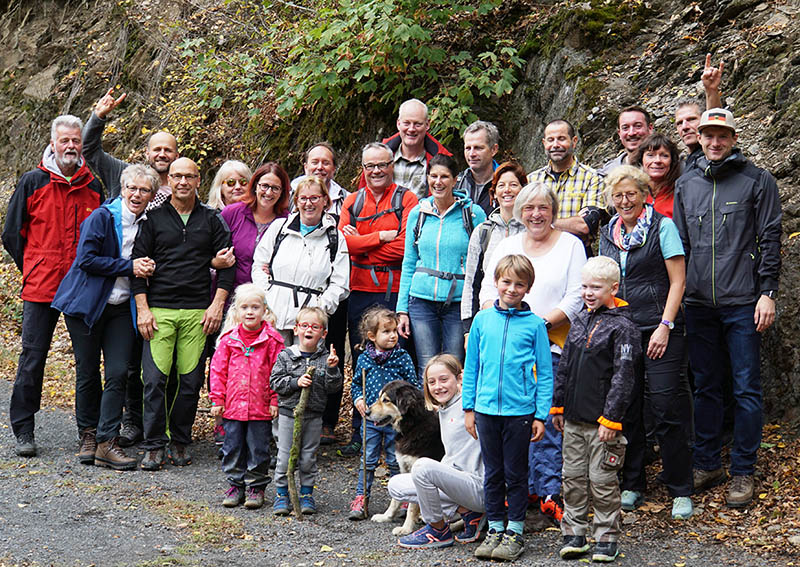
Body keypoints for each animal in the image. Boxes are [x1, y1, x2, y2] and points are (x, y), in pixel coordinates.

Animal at [368, 382, 446, 536]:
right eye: (379, 397)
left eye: (386, 400)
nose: (367, 412)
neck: (414, 425)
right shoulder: (403, 467)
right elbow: (395, 500)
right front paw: (386, 517)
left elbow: (411, 506)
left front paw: (406, 528)